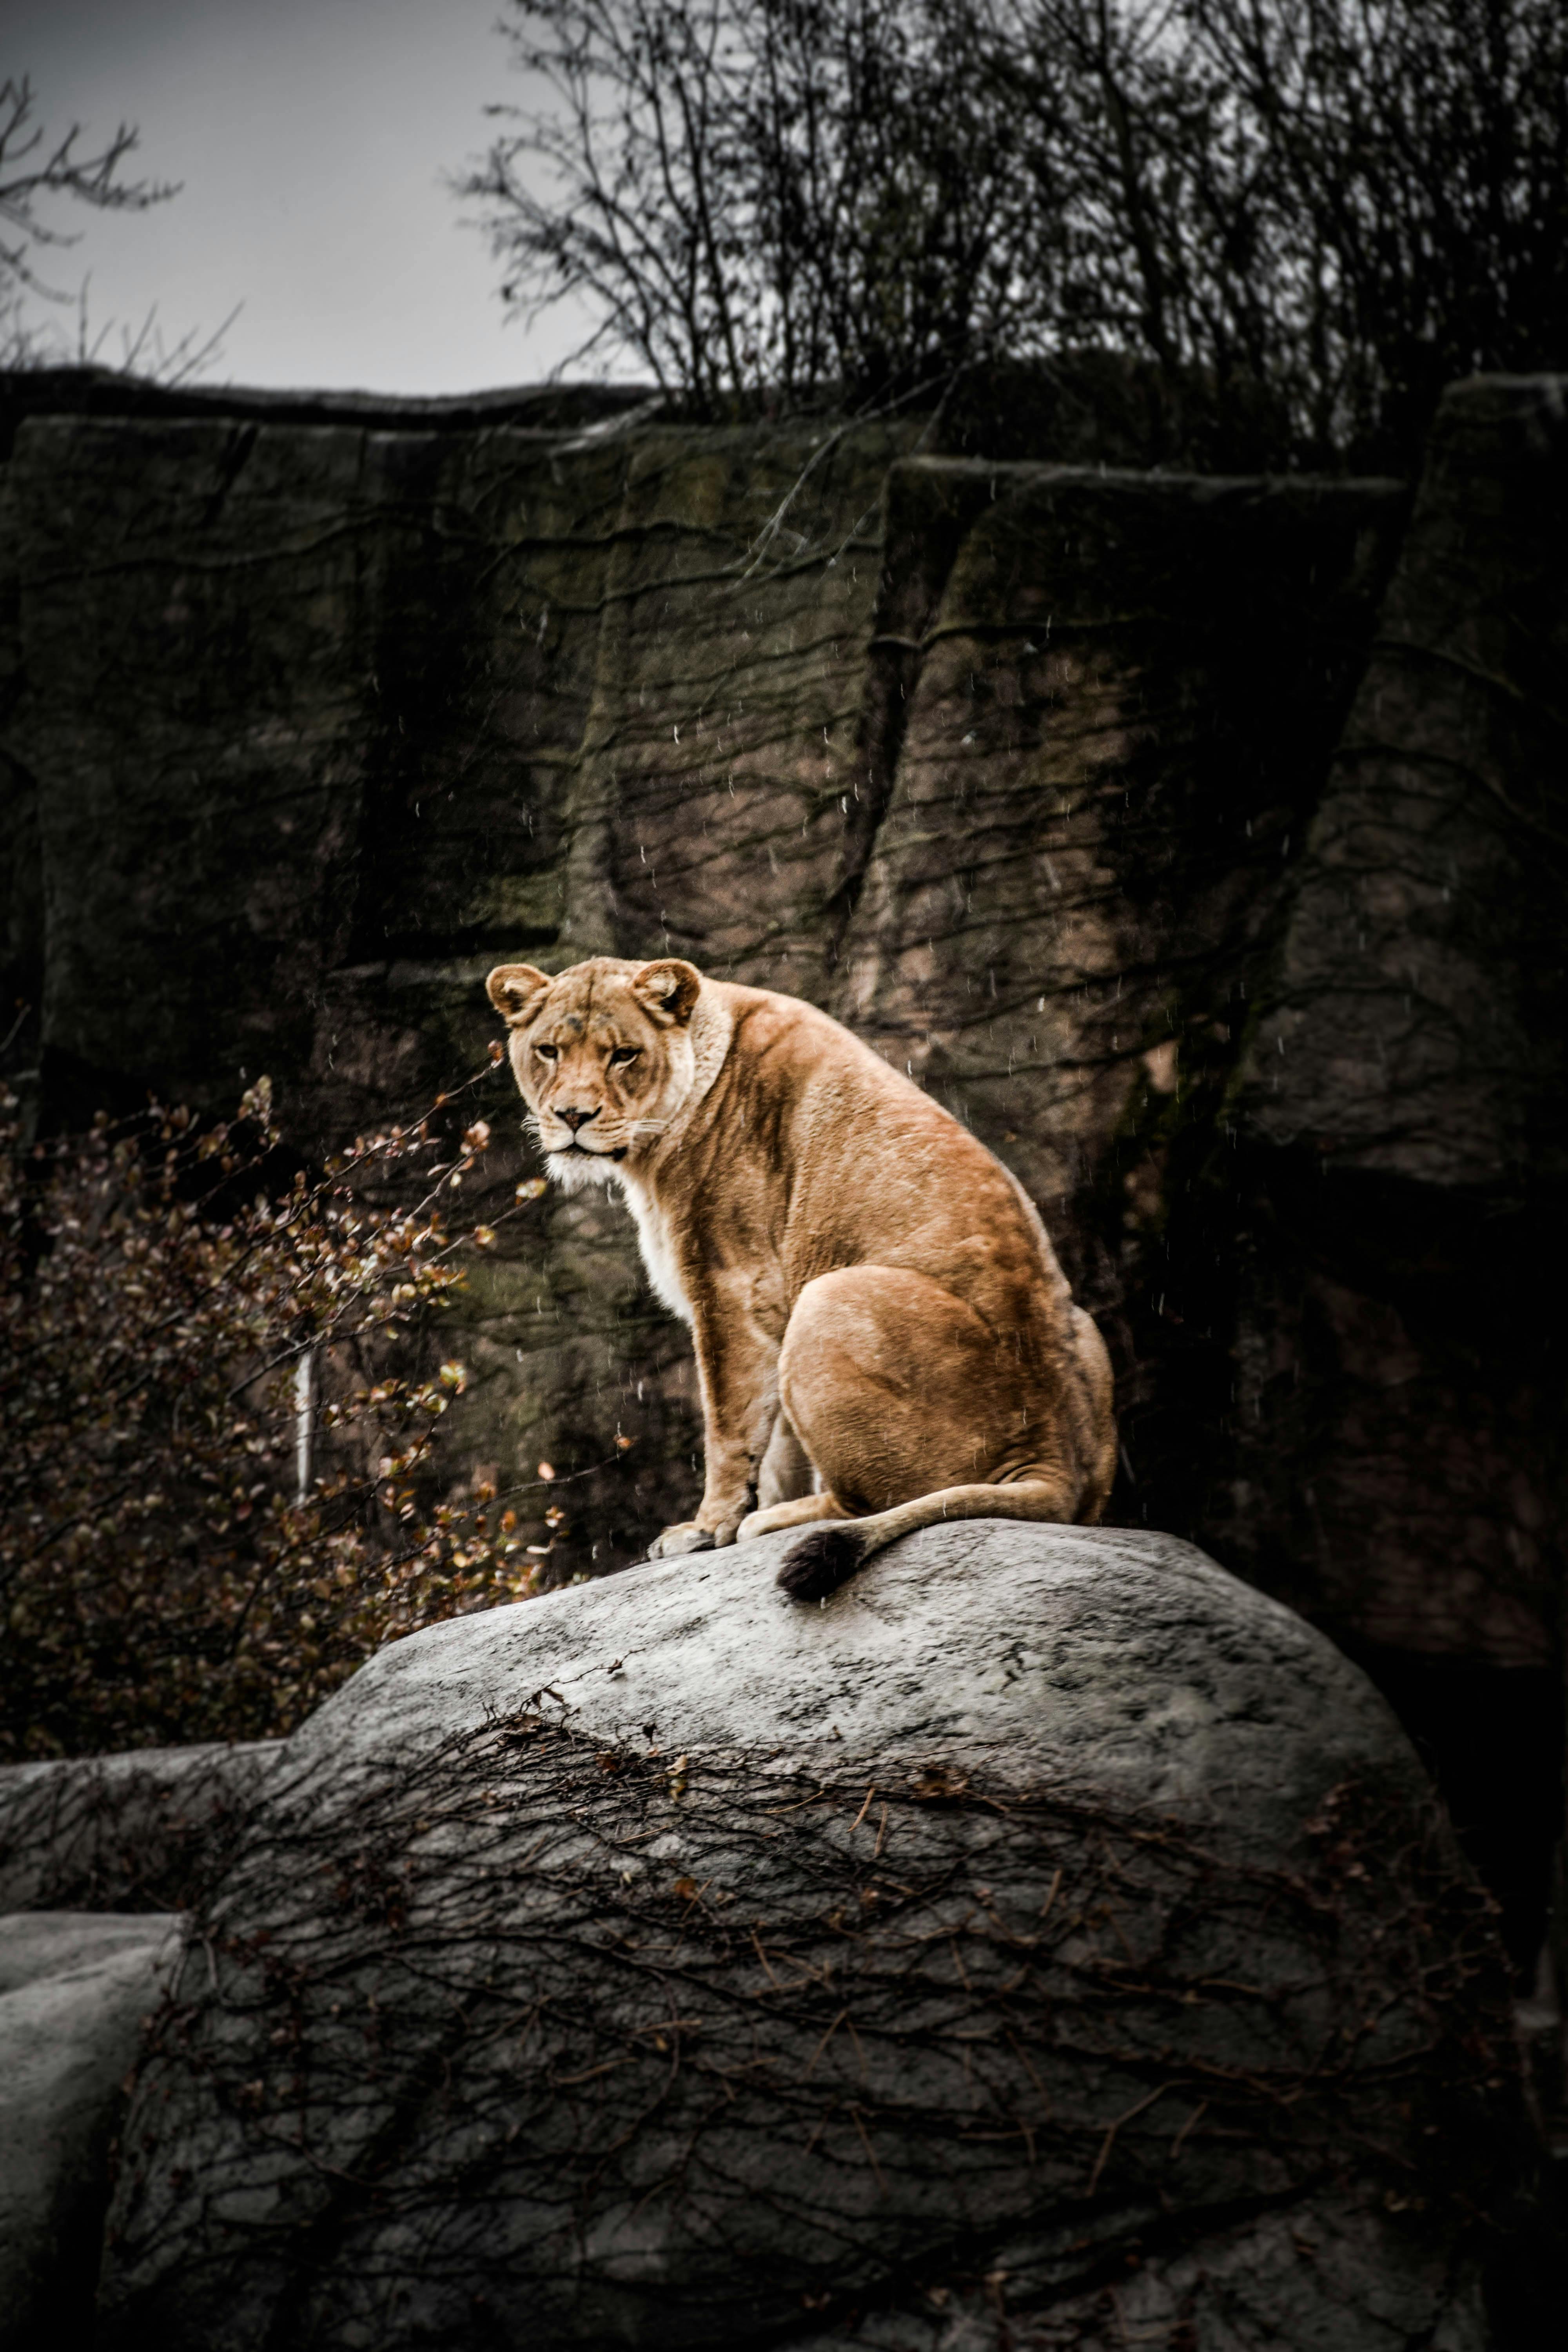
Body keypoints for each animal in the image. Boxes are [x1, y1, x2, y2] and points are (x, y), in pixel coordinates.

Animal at [486, 955, 1117, 1600]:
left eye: (624, 1055)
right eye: (549, 1051)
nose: (573, 1116)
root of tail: (1053, 1455)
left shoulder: (731, 1287)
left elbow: (730, 1429)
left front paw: (705, 1530)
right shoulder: (766, 1308)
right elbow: (778, 1448)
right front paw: (735, 1518)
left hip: (829, 1295)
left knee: (875, 1502)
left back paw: (773, 1523)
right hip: (1082, 1329)